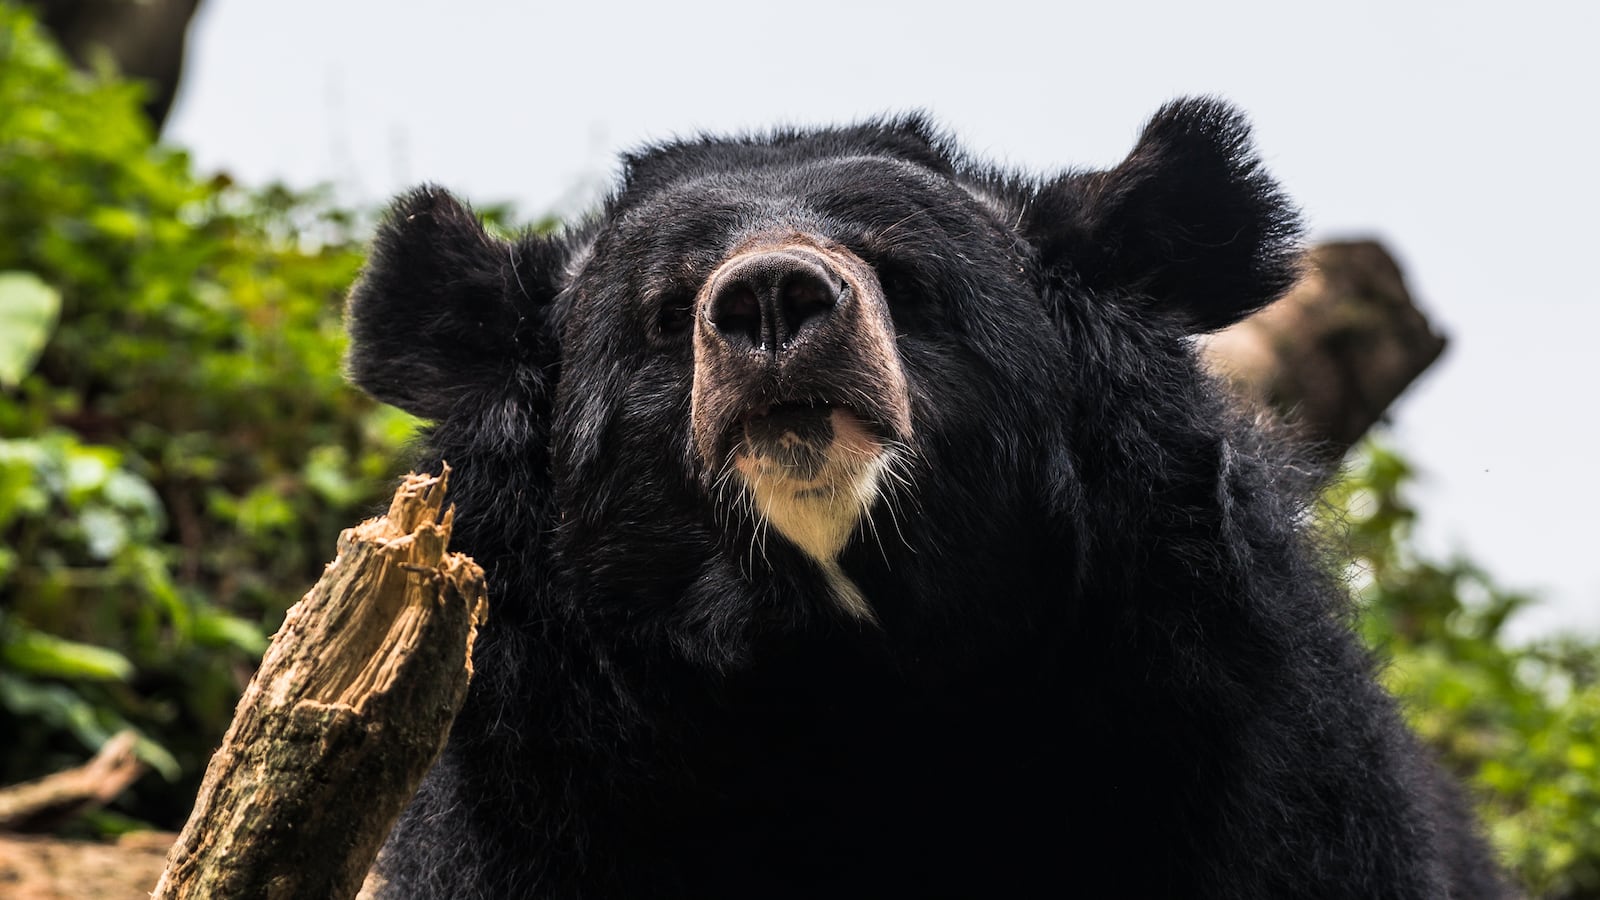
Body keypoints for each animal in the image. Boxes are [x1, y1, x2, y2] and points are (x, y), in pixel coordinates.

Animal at [345, 98, 1508, 898]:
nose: (772, 299)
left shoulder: (1237, 749)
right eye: (665, 311)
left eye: (904, 279)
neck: (851, 662)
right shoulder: (546, 795)